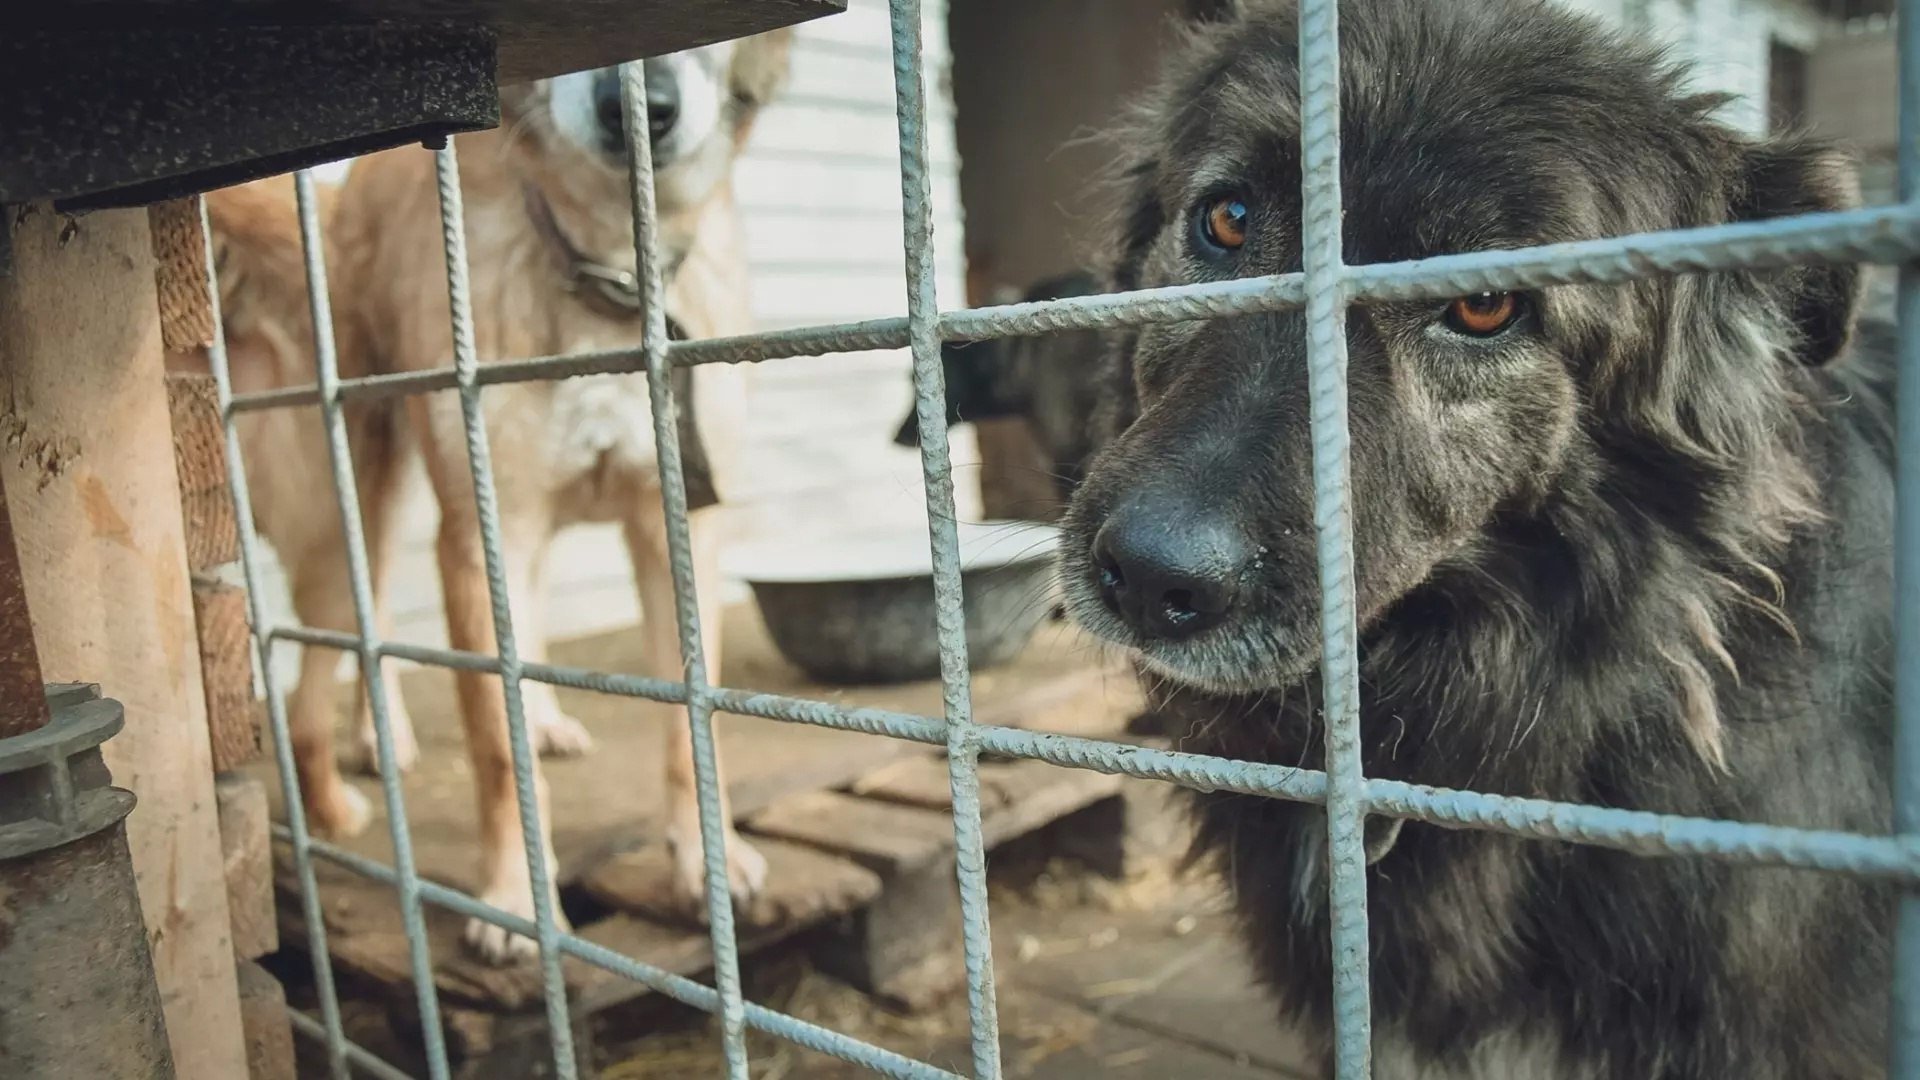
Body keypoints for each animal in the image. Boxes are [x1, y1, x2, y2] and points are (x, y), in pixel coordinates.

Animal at [202, 35, 787, 957]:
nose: (641, 110)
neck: (605, 278)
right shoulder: (486, 533)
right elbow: (492, 740)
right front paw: (517, 898)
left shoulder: (679, 530)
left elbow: (690, 726)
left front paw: (710, 863)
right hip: (359, 505)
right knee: (350, 644)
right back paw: (364, 758)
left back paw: (535, 718)